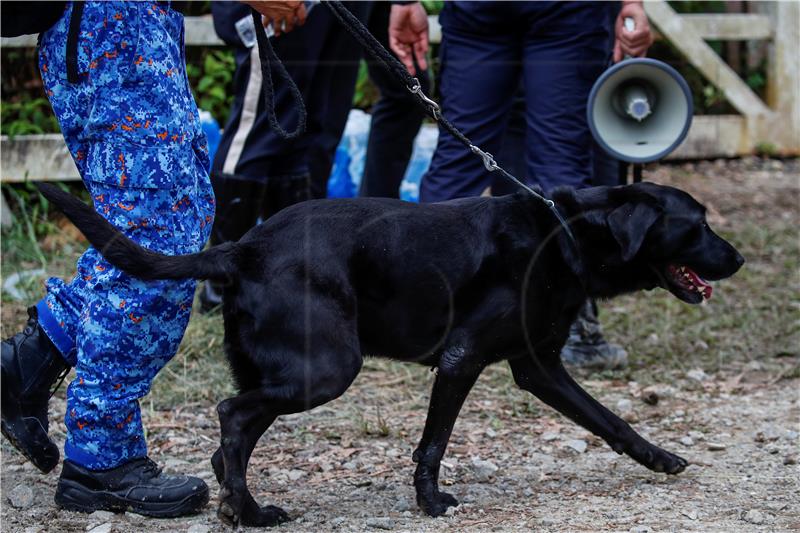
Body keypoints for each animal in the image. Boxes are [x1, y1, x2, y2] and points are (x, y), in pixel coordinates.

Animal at [39, 181, 744, 524]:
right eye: (699, 224)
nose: (738, 259)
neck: (565, 232)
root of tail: (243, 248)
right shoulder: (462, 359)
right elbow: (432, 444)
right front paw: (431, 504)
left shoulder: (539, 365)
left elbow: (609, 419)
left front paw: (660, 458)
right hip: (326, 368)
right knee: (230, 415)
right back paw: (250, 515)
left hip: (290, 370)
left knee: (231, 434)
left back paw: (241, 505)